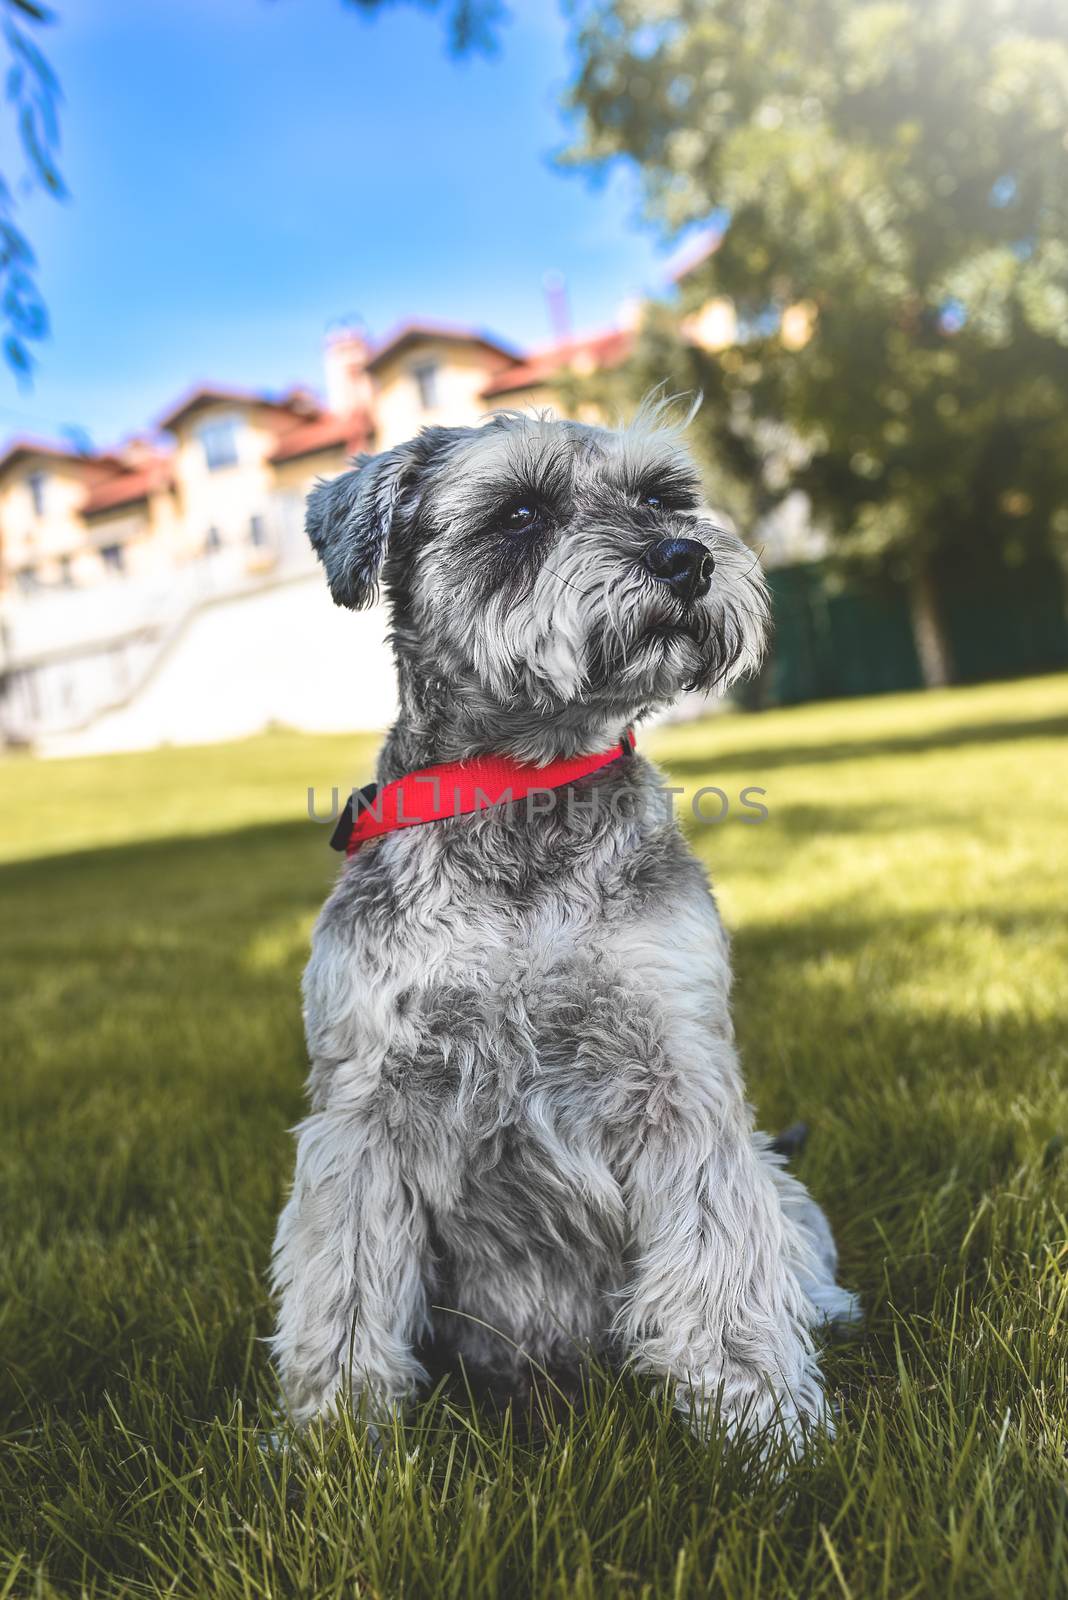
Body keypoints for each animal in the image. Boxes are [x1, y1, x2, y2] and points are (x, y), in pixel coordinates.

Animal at [268, 403, 856, 1452]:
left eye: (665, 495)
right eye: (520, 512)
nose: (685, 557)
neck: (527, 790)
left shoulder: (679, 1074)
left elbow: (722, 1260)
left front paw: (760, 1422)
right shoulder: (365, 1105)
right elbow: (343, 1282)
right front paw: (337, 1439)